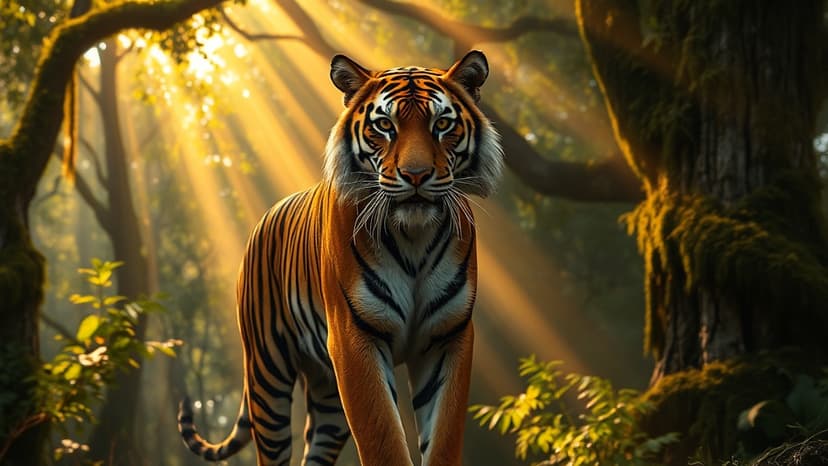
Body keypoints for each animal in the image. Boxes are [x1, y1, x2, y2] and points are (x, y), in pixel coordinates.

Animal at [177, 50, 503, 466]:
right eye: (385, 126)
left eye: (442, 124)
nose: (416, 175)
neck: (414, 238)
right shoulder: (354, 338)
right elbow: (383, 441)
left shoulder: (449, 337)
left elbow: (443, 440)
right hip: (268, 376)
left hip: (329, 394)